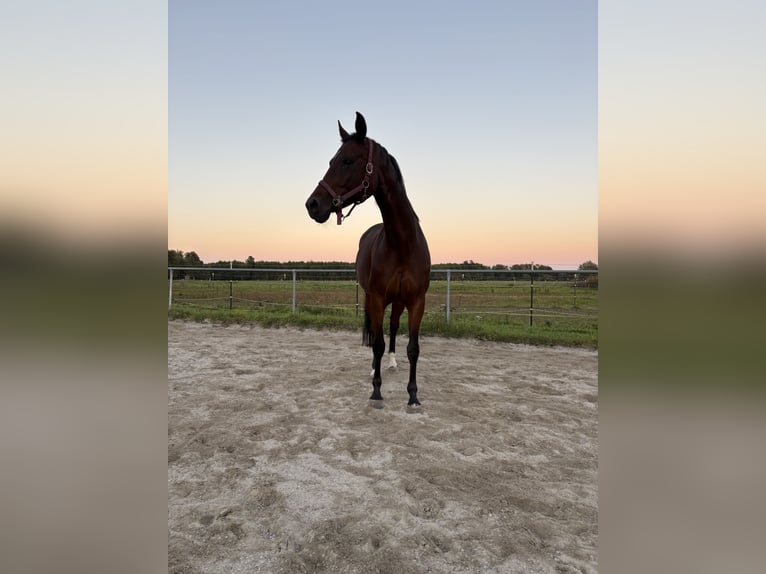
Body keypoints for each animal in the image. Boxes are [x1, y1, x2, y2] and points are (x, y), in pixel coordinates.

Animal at [305, 112, 431, 407]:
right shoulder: (375, 298)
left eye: (348, 160)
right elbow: (377, 343)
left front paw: (413, 395)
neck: (402, 243)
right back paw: (375, 368)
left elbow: (413, 347)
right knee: (375, 336)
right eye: (332, 161)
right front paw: (376, 390)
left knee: (393, 328)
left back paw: (392, 364)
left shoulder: (416, 301)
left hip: (397, 301)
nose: (312, 205)